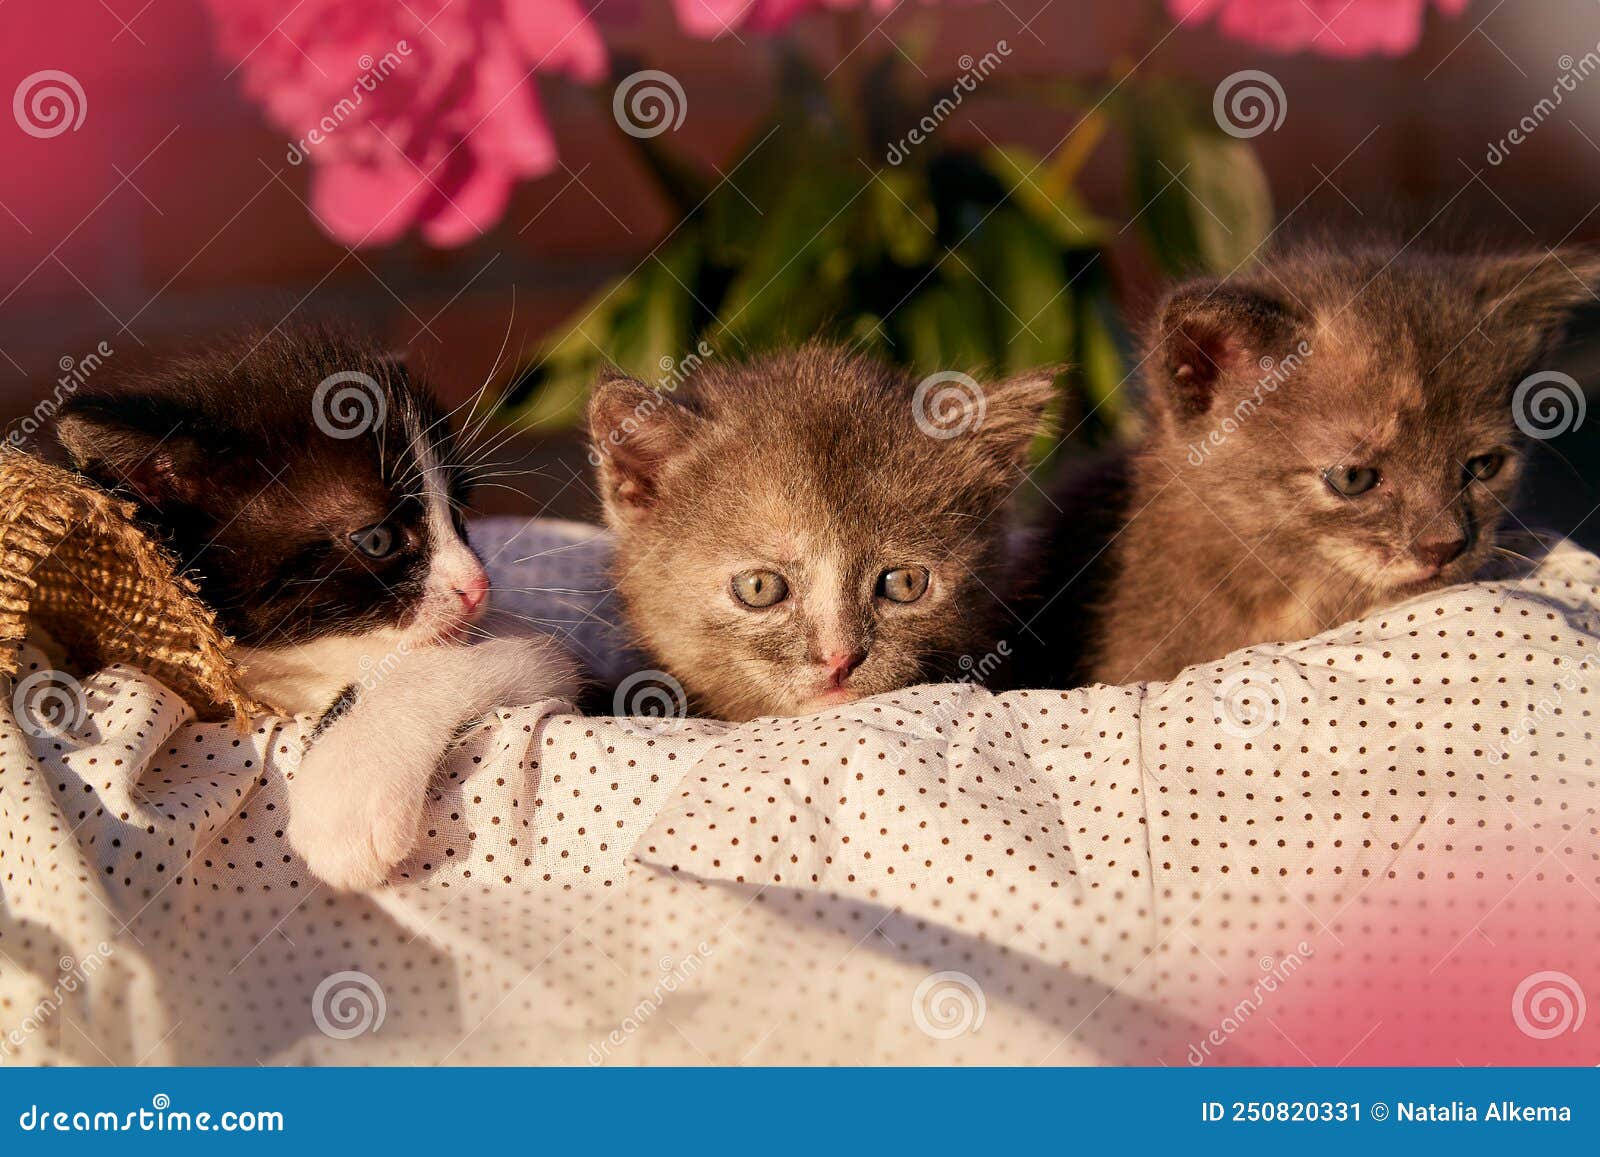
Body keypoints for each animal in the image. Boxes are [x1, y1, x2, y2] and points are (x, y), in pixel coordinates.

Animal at [53, 329, 579, 889]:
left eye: (457, 515)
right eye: (378, 538)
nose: (476, 586)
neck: (304, 662)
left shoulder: (538, 657)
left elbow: (468, 658)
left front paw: (345, 790)